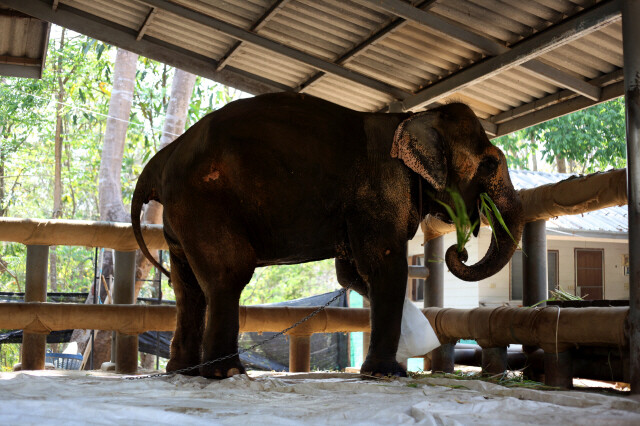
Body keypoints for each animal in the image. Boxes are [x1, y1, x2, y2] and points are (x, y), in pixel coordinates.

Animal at [131, 93, 524, 380]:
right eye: (490, 164)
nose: (460, 249)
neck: (415, 115)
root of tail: (160, 160)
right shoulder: (382, 189)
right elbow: (385, 265)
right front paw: (387, 374)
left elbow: (351, 273)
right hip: (206, 200)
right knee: (228, 274)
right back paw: (224, 373)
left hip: (181, 218)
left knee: (188, 289)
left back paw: (183, 371)